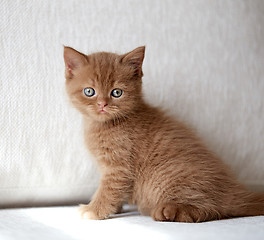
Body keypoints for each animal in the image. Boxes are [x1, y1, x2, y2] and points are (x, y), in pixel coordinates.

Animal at [64, 46, 264, 222]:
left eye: (117, 92)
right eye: (89, 91)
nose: (102, 104)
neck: (105, 125)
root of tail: (233, 191)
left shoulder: (119, 168)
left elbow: (108, 190)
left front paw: (94, 210)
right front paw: (115, 208)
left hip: (164, 177)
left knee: (210, 209)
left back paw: (169, 211)